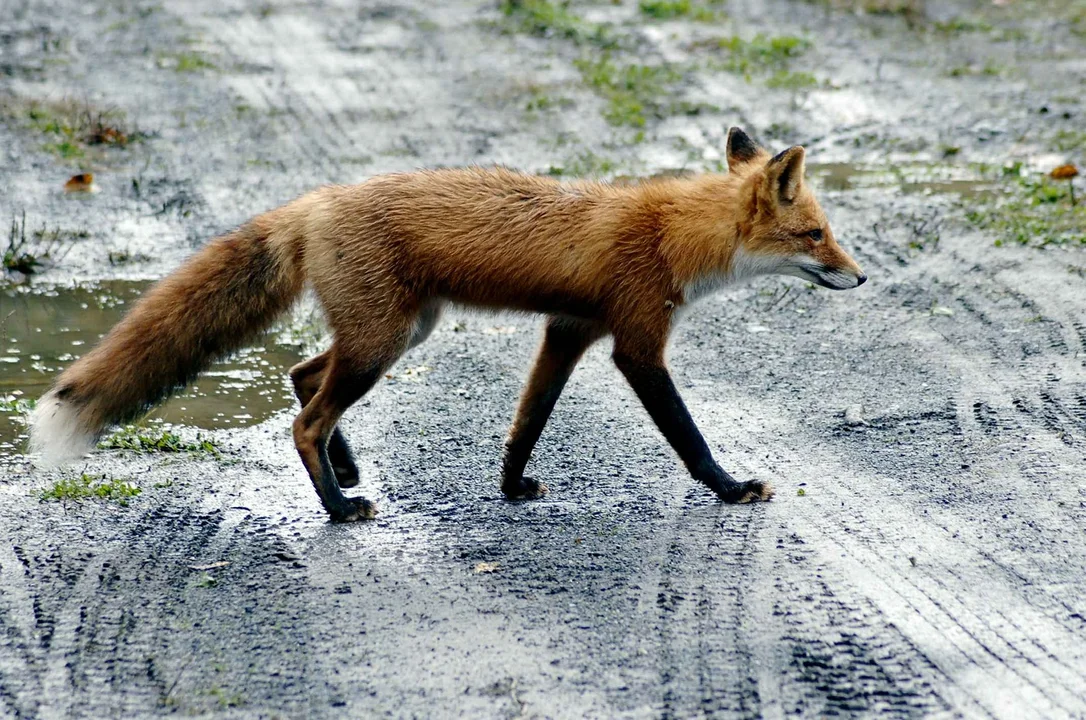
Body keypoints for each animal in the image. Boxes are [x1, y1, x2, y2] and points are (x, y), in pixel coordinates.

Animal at [27, 129, 864, 521]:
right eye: (816, 235)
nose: (862, 277)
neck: (670, 234)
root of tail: (318, 200)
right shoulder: (636, 343)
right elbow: (688, 438)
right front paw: (730, 489)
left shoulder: (567, 330)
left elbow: (528, 420)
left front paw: (511, 485)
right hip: (385, 342)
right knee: (305, 416)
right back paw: (339, 507)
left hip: (398, 332)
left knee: (301, 376)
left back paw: (345, 471)